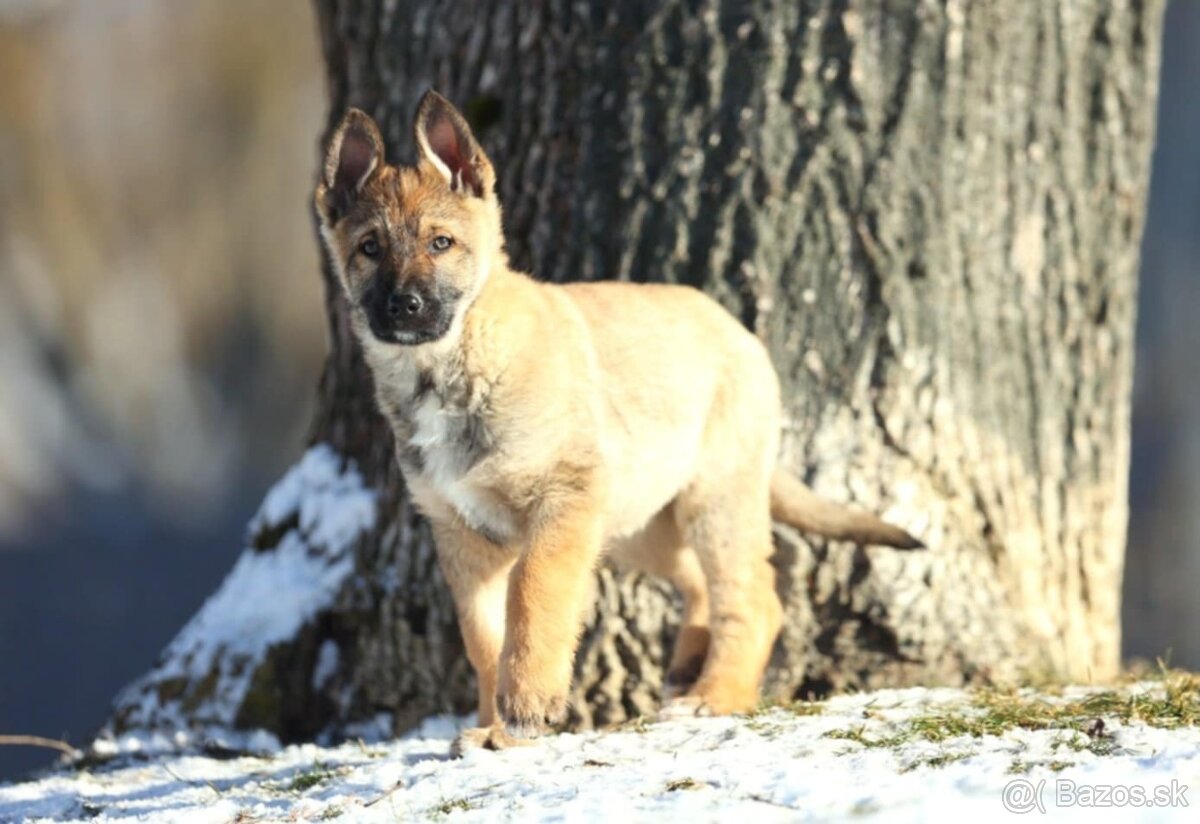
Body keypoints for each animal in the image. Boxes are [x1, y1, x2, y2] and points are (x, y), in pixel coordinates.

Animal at [314, 91, 921, 753]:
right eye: (369, 248)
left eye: (441, 243)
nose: (404, 306)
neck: (457, 363)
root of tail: (738, 331)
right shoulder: (461, 532)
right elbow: (483, 637)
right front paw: (496, 727)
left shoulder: (563, 502)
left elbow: (533, 595)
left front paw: (525, 709)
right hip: (640, 519)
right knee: (699, 584)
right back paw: (687, 670)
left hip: (711, 502)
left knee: (754, 601)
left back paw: (715, 697)